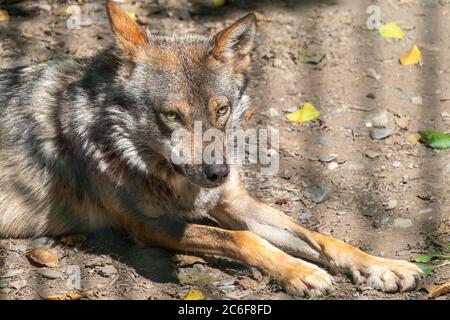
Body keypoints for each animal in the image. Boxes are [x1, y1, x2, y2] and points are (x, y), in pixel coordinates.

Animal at [0, 0, 422, 298]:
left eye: (221, 110)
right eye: (171, 115)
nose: (219, 172)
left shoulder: (233, 202)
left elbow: (321, 237)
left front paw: (383, 266)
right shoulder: (147, 225)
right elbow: (243, 239)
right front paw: (299, 271)